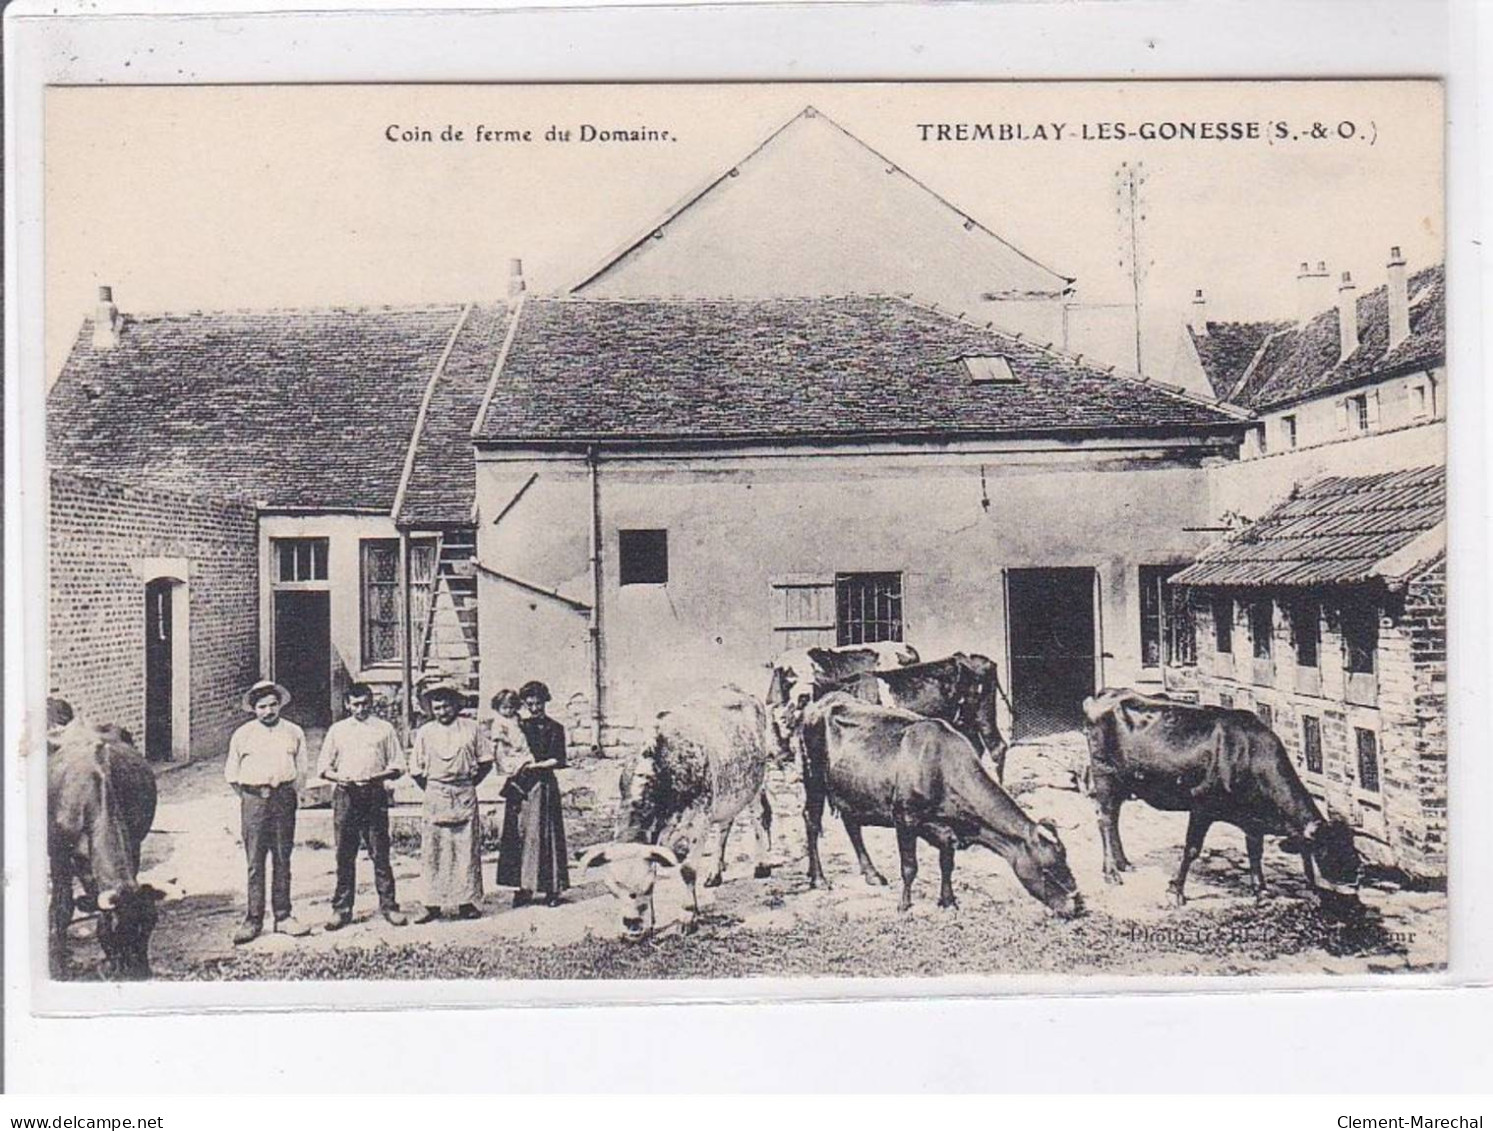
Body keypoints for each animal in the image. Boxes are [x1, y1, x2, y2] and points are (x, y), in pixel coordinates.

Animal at [47, 713, 164, 978]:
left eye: (150, 926)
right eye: (116, 932)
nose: (141, 974)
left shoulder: (134, 844)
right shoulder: (58, 855)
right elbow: (62, 908)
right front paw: (59, 966)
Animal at [579, 692, 776, 937]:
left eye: (647, 886)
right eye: (612, 889)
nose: (631, 927)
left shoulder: (698, 825)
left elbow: (688, 871)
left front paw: (688, 916)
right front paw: (651, 922)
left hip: (757, 783)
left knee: (760, 817)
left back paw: (761, 865)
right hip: (728, 792)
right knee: (725, 827)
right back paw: (715, 874)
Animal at [800, 692, 1080, 919]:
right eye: (1048, 869)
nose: (1077, 906)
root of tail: (822, 700)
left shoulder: (944, 829)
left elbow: (947, 863)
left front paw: (948, 901)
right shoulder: (904, 817)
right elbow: (909, 867)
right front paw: (904, 906)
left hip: (851, 788)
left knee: (852, 824)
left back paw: (872, 875)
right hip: (814, 778)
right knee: (811, 821)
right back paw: (819, 878)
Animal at [1074, 686, 1373, 907]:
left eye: (1354, 852)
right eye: (1328, 853)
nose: (1356, 885)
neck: (1249, 754)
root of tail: (1105, 693)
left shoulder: (1253, 819)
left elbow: (1255, 851)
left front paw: (1261, 891)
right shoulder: (1202, 806)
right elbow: (1192, 849)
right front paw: (1175, 892)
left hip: (1125, 782)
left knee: (1114, 819)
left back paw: (1124, 863)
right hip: (1104, 775)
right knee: (1105, 819)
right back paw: (1111, 872)